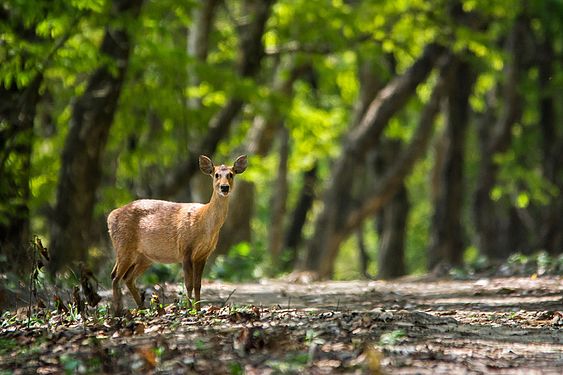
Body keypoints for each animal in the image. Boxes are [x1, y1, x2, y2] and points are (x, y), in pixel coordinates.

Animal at [107, 154, 247, 316]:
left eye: (231, 174)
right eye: (216, 174)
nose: (224, 187)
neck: (203, 222)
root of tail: (111, 216)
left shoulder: (203, 255)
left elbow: (198, 284)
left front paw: (198, 309)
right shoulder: (185, 249)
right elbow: (188, 284)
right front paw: (189, 310)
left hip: (144, 257)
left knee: (127, 278)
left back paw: (142, 310)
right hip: (123, 246)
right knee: (115, 277)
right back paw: (119, 312)